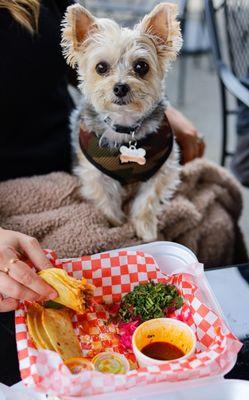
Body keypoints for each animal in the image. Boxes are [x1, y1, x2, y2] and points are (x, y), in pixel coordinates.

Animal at [61, 2, 183, 241]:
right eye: (101, 67)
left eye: (141, 66)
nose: (120, 87)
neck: (126, 127)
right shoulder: (95, 176)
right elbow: (106, 202)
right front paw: (117, 225)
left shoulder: (162, 170)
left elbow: (147, 201)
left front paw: (146, 230)